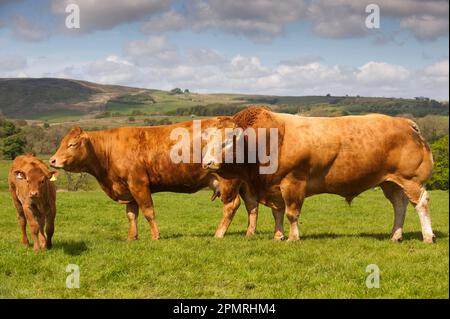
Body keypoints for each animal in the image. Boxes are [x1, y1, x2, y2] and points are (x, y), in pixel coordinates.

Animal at [48, 119, 256, 241]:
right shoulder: (127, 189)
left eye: (72, 144)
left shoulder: (138, 184)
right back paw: (250, 232)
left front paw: (156, 236)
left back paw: (219, 234)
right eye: (61, 142)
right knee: (251, 204)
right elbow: (131, 214)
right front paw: (132, 237)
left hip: (227, 180)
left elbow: (148, 211)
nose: (52, 160)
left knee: (231, 205)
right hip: (244, 182)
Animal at [202, 106, 434, 244]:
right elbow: (278, 212)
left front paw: (293, 237)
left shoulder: (293, 183)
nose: (207, 163)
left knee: (420, 203)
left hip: (411, 180)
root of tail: (405, 123)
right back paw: (395, 235)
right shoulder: (273, 187)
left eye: (227, 142)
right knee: (399, 205)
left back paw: (427, 236)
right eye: (207, 141)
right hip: (391, 182)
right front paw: (278, 235)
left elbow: (291, 213)